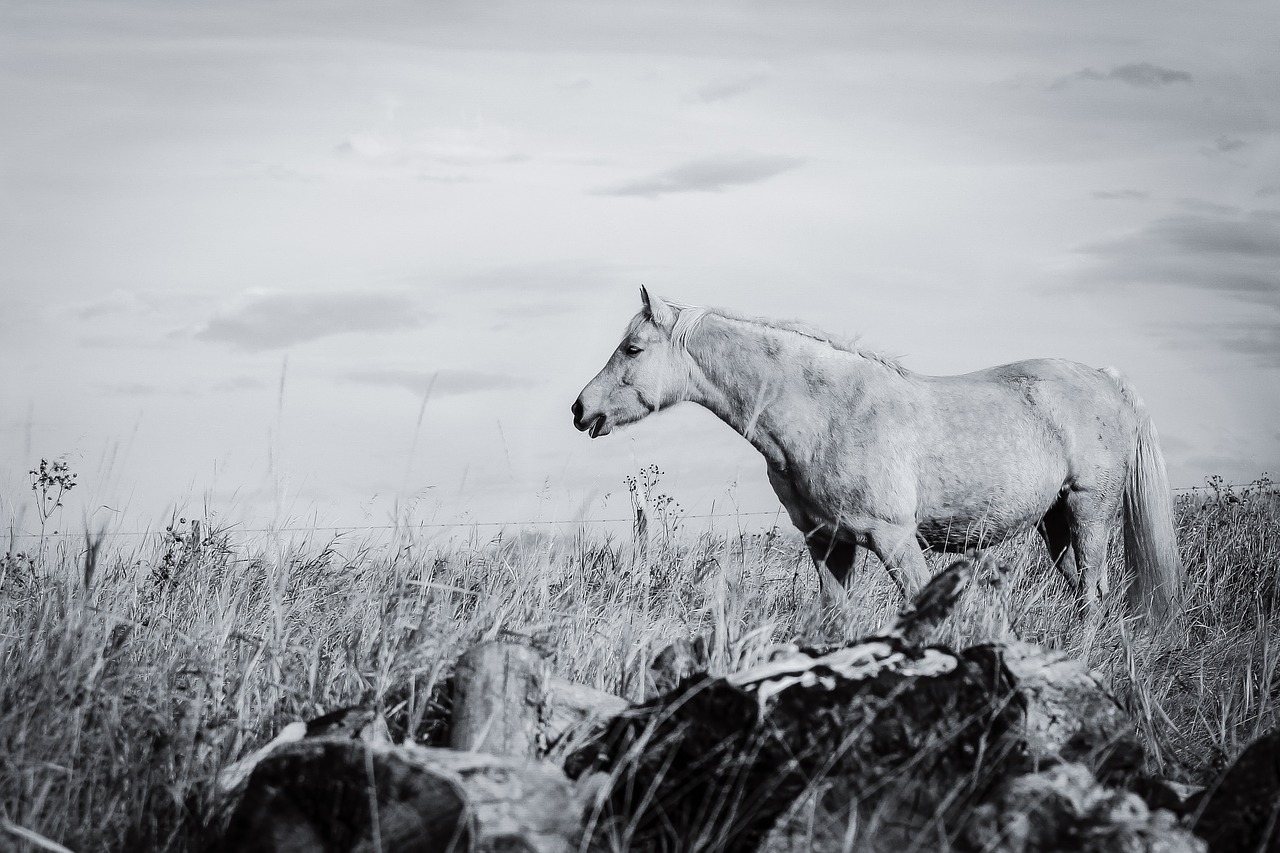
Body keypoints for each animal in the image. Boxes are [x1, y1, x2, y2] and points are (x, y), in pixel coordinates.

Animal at [576, 285, 1182, 617]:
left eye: (632, 349)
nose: (582, 411)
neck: (827, 413)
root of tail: (1106, 379)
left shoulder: (895, 539)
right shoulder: (828, 543)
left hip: (1087, 513)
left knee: (1093, 596)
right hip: (1054, 522)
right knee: (1084, 593)